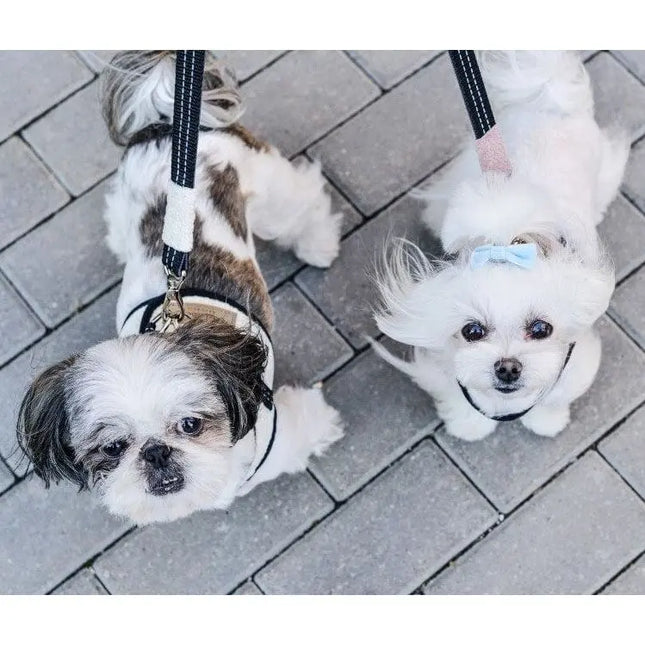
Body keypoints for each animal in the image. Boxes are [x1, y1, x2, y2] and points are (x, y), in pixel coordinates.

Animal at [17, 50, 344, 524]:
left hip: (268, 190)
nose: (156, 452)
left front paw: (327, 424)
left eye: (191, 424)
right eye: (113, 448)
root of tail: (170, 122)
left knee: (300, 204)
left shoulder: (278, 436)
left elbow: (307, 426)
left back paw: (319, 244)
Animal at [374, 52, 628, 440]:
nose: (507, 367)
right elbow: (457, 391)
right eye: (472, 331)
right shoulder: (444, 361)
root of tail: (548, 104)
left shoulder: (574, 360)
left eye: (541, 329)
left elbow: (555, 394)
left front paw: (546, 420)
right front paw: (469, 424)